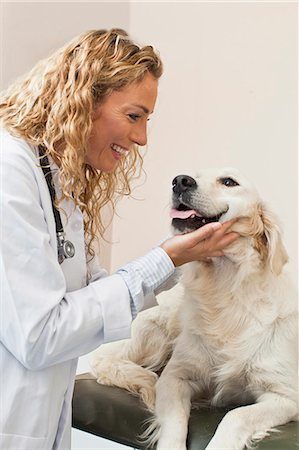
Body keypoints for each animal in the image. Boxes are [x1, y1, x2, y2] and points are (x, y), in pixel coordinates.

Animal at [91, 168, 299, 450]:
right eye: (195, 175)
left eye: (229, 182)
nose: (180, 181)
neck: (226, 289)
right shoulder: (174, 377)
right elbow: (174, 423)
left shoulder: (285, 396)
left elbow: (236, 415)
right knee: (103, 359)